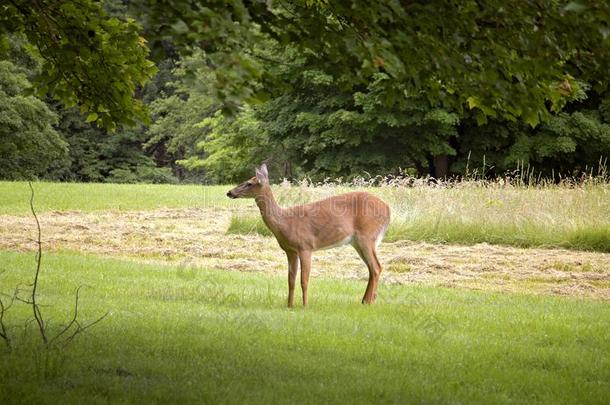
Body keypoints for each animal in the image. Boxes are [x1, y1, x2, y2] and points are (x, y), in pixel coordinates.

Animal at [227, 163, 390, 306]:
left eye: (249, 183)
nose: (229, 192)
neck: (285, 222)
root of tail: (388, 209)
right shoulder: (290, 251)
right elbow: (291, 280)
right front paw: (289, 305)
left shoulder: (305, 246)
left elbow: (304, 280)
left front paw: (305, 305)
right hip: (357, 241)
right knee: (372, 269)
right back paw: (365, 300)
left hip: (367, 236)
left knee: (376, 267)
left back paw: (369, 302)